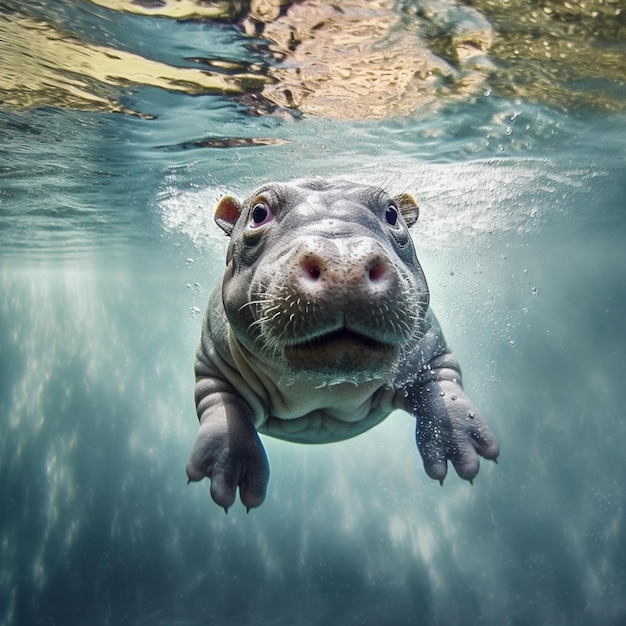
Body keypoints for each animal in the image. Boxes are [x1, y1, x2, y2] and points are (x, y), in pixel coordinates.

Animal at [185, 178, 498, 510]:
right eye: (258, 212)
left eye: (391, 214)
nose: (343, 259)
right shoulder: (213, 364)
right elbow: (223, 411)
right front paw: (230, 473)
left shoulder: (430, 351)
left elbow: (441, 391)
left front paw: (463, 448)